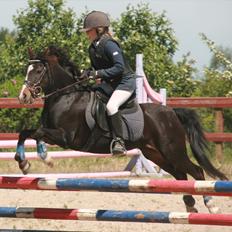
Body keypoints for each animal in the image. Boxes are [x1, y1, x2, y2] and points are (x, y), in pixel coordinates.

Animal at [17, 45, 227, 214]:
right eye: (27, 70)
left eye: (38, 71)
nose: (23, 96)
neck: (66, 96)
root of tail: (171, 112)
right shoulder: (52, 133)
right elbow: (26, 132)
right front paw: (23, 163)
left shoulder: (66, 137)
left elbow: (38, 134)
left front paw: (46, 158)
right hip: (155, 154)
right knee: (180, 175)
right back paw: (190, 204)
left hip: (172, 151)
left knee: (196, 171)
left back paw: (211, 206)